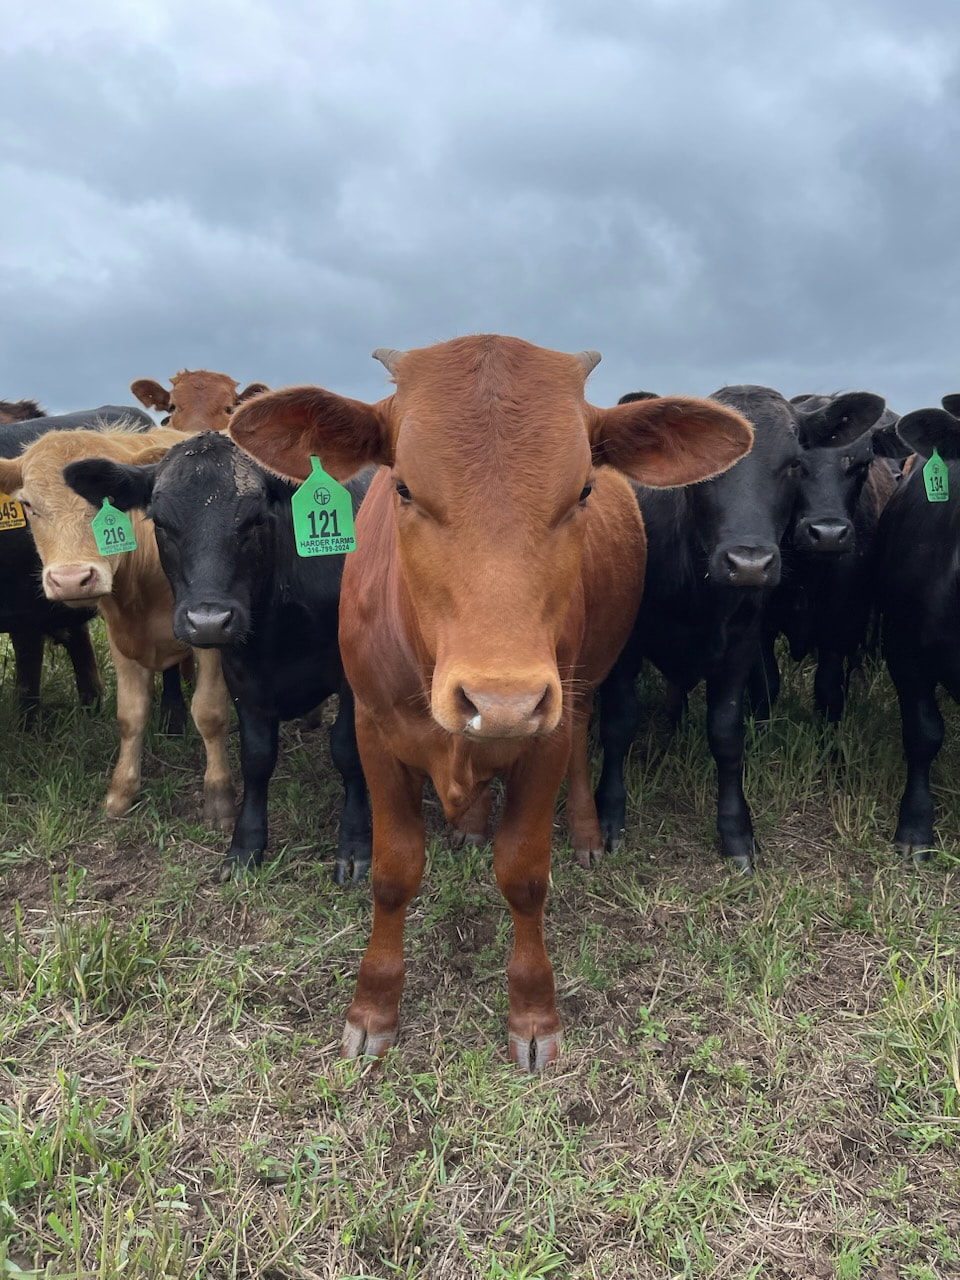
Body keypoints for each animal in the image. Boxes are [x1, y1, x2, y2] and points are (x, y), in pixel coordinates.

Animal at [64, 430, 373, 884]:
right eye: (161, 523)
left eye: (256, 519)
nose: (208, 622)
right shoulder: (242, 674)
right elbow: (257, 757)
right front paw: (246, 846)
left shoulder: (352, 675)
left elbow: (348, 750)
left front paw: (354, 844)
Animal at [228, 334, 753, 1069]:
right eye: (404, 487)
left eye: (582, 490)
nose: (501, 700)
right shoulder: (372, 730)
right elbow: (393, 872)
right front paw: (374, 1006)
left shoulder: (546, 731)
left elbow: (525, 874)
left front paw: (533, 1011)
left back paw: (584, 832)